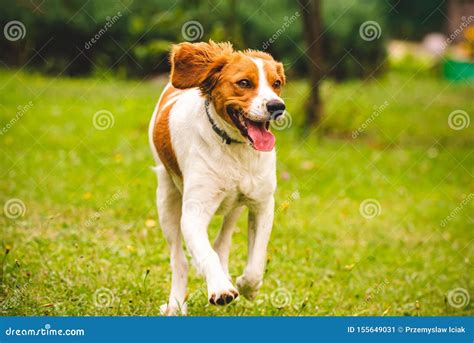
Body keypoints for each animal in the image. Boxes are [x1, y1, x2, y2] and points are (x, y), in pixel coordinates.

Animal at [149, 41, 286, 316]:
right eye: (244, 83)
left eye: (276, 83)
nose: (277, 106)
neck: (235, 148)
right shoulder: (193, 213)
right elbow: (204, 253)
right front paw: (221, 289)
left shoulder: (263, 204)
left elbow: (256, 259)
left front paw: (247, 286)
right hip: (166, 199)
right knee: (179, 260)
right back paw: (175, 304)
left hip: (234, 206)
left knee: (221, 242)